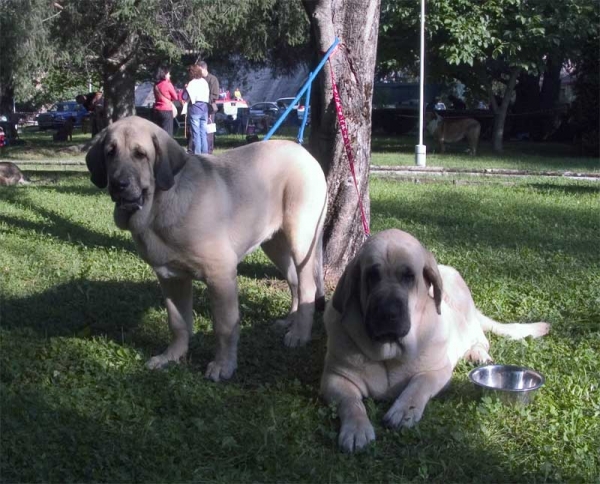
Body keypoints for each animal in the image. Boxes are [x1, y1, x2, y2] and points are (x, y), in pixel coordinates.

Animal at [85, 116, 324, 382]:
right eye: (110, 152)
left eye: (140, 154)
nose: (118, 185)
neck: (159, 207)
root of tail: (303, 151)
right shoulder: (171, 278)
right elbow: (178, 322)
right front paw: (171, 357)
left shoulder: (220, 275)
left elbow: (224, 326)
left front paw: (223, 365)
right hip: (274, 243)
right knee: (293, 281)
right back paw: (290, 321)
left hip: (301, 239)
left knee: (307, 286)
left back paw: (299, 334)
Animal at [322, 229, 552, 452]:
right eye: (372, 275)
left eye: (409, 276)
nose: (388, 313)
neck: (390, 354)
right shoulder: (336, 378)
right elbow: (351, 402)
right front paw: (356, 429)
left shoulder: (437, 371)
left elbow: (419, 384)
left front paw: (404, 410)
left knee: (480, 339)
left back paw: (478, 354)